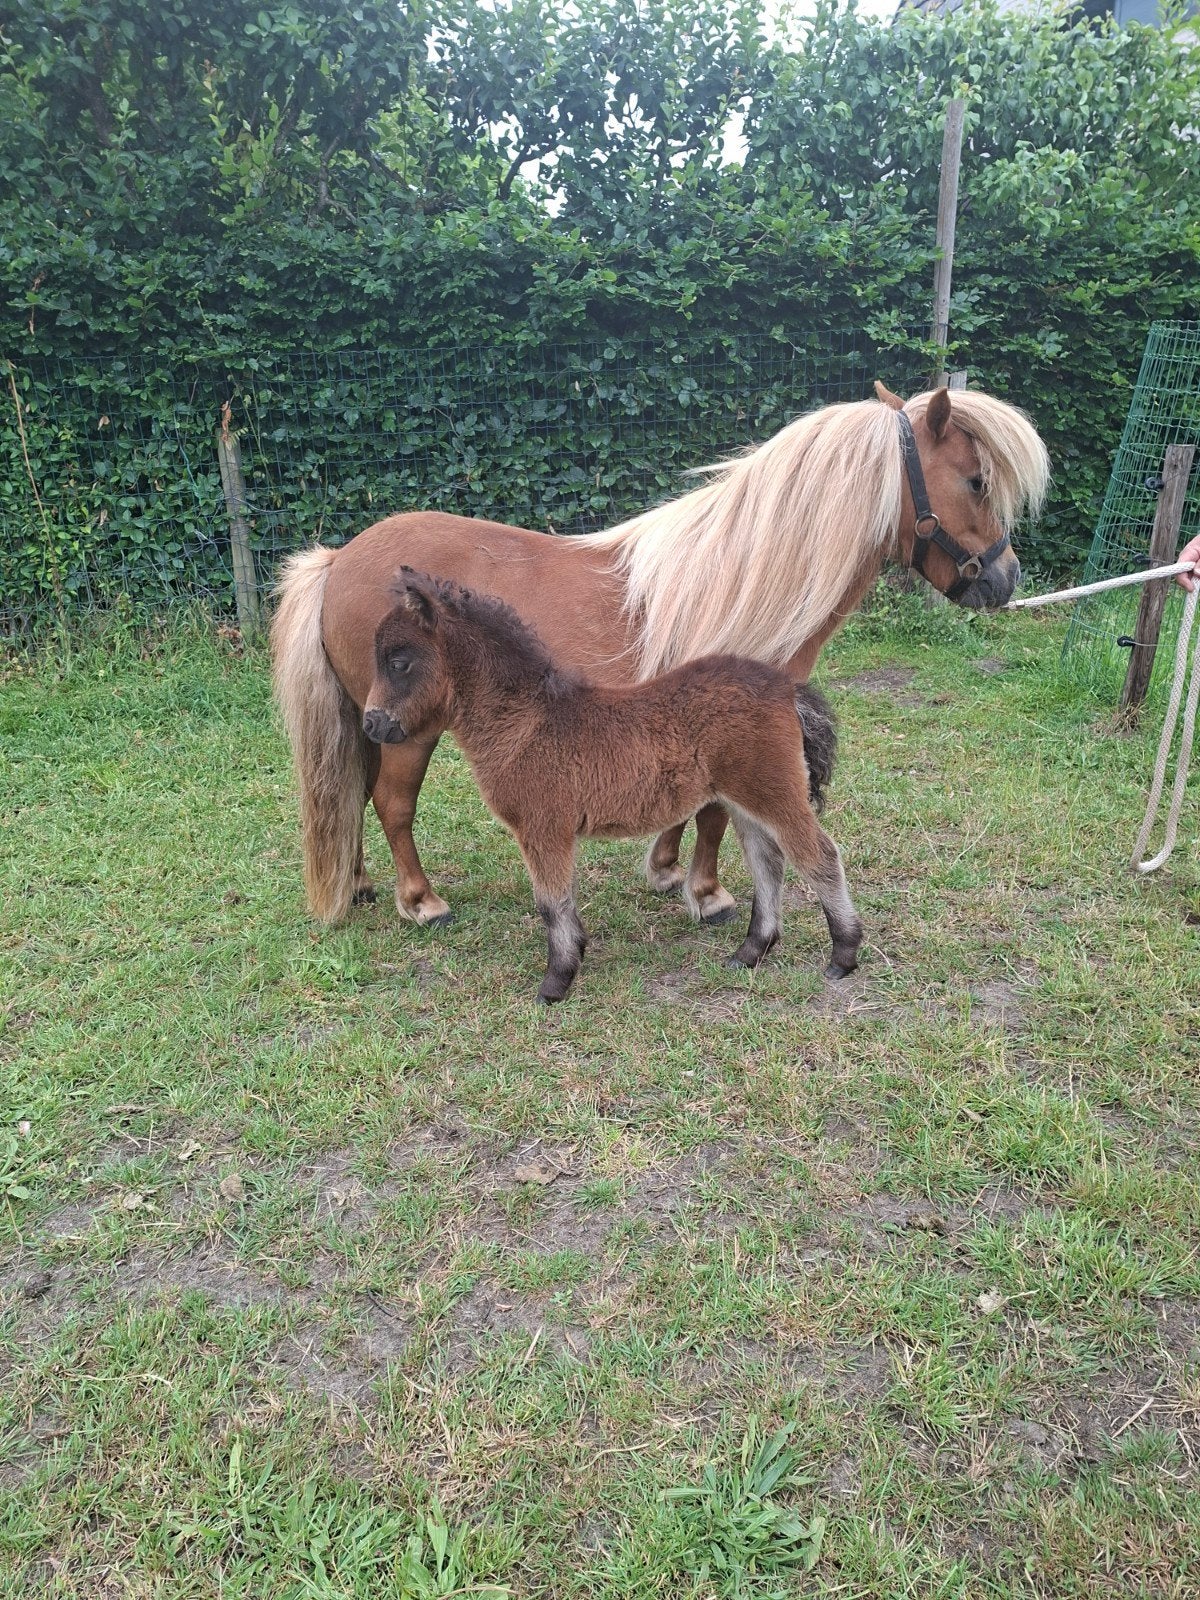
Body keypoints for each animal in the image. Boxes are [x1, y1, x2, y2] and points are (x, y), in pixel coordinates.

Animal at [272, 382, 1049, 929]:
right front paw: (706, 894)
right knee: (391, 802)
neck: (742, 577)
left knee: (351, 791)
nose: (1006, 580)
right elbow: (714, 815)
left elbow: (692, 805)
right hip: (409, 730)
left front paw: (670, 871)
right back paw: (420, 901)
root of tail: (340, 560)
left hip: (371, 721)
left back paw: (360, 884)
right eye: (976, 480)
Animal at [364, 570, 860, 1003]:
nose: (371, 724)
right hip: (745, 801)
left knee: (818, 856)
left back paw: (844, 954)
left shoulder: (544, 829)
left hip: (772, 791)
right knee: (768, 863)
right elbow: (561, 901)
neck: (525, 723)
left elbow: (551, 904)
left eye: (399, 662)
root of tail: (785, 688)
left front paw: (556, 982)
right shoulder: (552, 832)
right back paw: (751, 952)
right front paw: (574, 958)